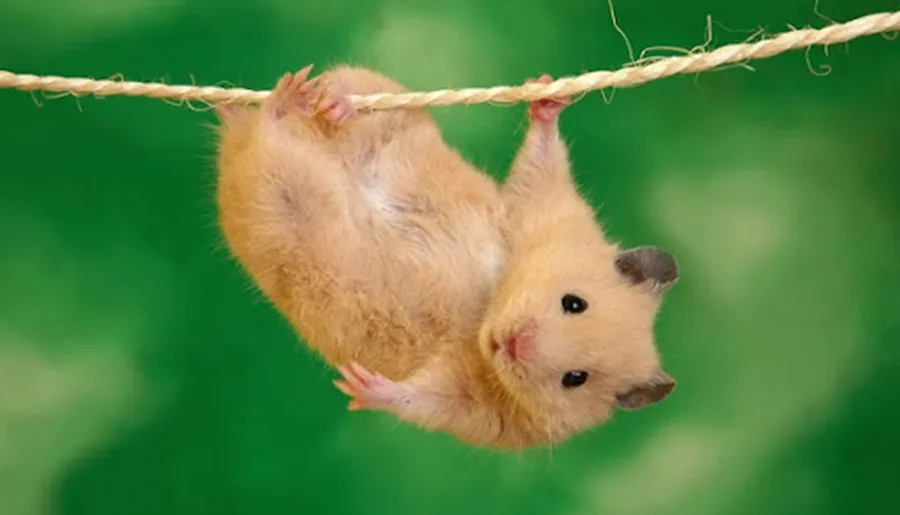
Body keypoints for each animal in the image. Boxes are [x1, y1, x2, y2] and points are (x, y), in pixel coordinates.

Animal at [213, 65, 679, 450]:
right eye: (574, 303)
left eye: (575, 379)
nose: (513, 344)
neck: (487, 308)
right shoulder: (539, 209)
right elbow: (541, 164)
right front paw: (547, 93)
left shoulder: (479, 410)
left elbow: (422, 399)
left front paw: (360, 386)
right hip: (388, 109)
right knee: (351, 92)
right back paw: (319, 99)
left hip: (277, 203)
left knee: (267, 143)